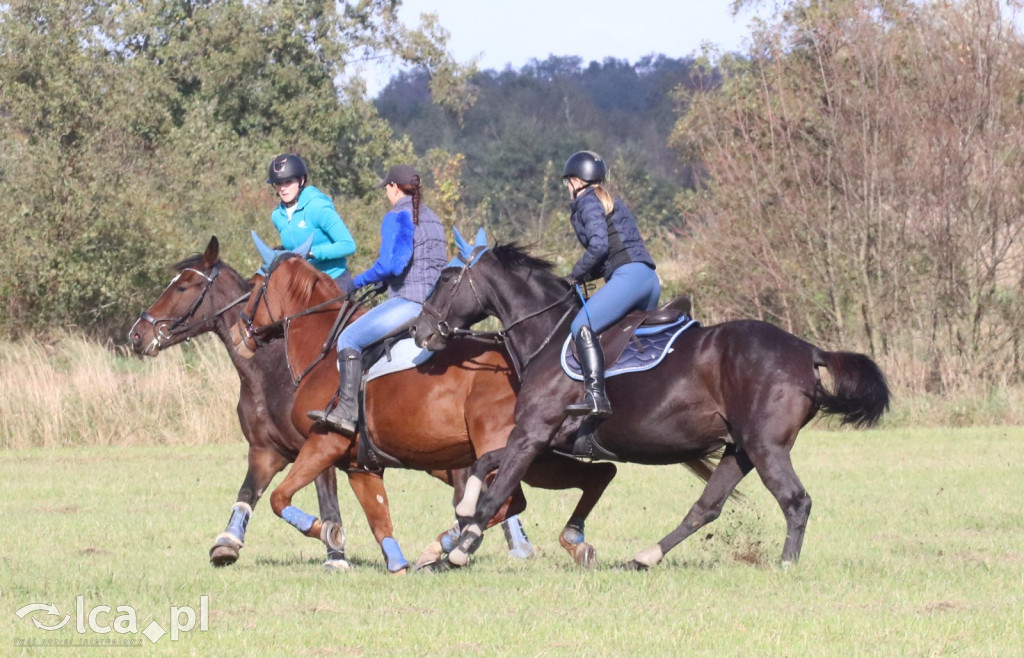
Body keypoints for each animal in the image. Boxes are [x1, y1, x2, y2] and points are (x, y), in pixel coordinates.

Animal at [229, 244, 626, 568]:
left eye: (255, 286)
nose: (237, 333)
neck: (324, 351)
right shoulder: (360, 465)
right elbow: (380, 521)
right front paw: (396, 564)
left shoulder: (324, 443)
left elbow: (279, 498)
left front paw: (324, 530)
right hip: (539, 454)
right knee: (596, 475)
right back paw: (571, 543)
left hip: (514, 448)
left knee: (506, 503)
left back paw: (447, 547)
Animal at [407, 231, 888, 573]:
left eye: (446, 279)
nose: (419, 331)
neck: (547, 334)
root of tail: (807, 351)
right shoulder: (540, 439)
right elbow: (482, 465)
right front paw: (459, 520)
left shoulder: (533, 435)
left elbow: (497, 489)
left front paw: (461, 549)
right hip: (740, 449)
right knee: (706, 508)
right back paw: (647, 556)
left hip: (766, 447)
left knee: (794, 500)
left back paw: (786, 565)